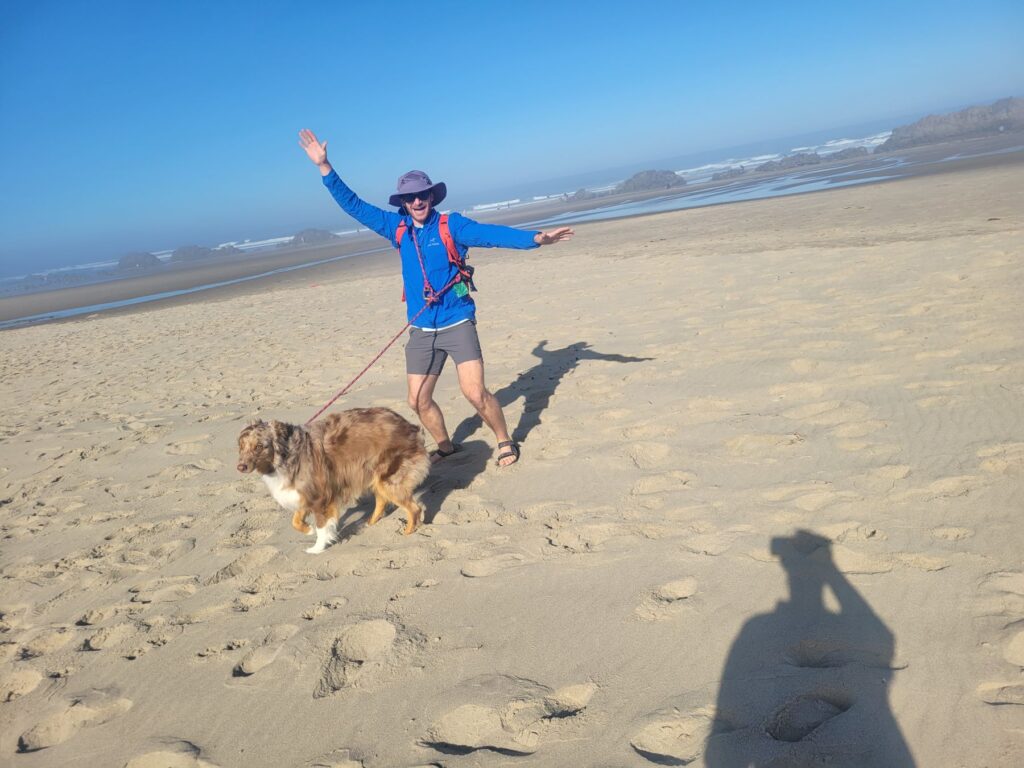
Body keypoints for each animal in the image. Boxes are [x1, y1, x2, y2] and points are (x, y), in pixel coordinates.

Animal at [234, 409, 428, 552]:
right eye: (241, 446)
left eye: (259, 446)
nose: (240, 467)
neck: (285, 456)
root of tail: (410, 426)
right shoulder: (304, 493)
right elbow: (295, 521)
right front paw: (308, 530)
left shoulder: (320, 496)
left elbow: (321, 526)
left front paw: (317, 548)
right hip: (376, 477)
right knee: (382, 501)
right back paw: (370, 523)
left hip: (388, 479)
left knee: (414, 508)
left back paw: (407, 533)